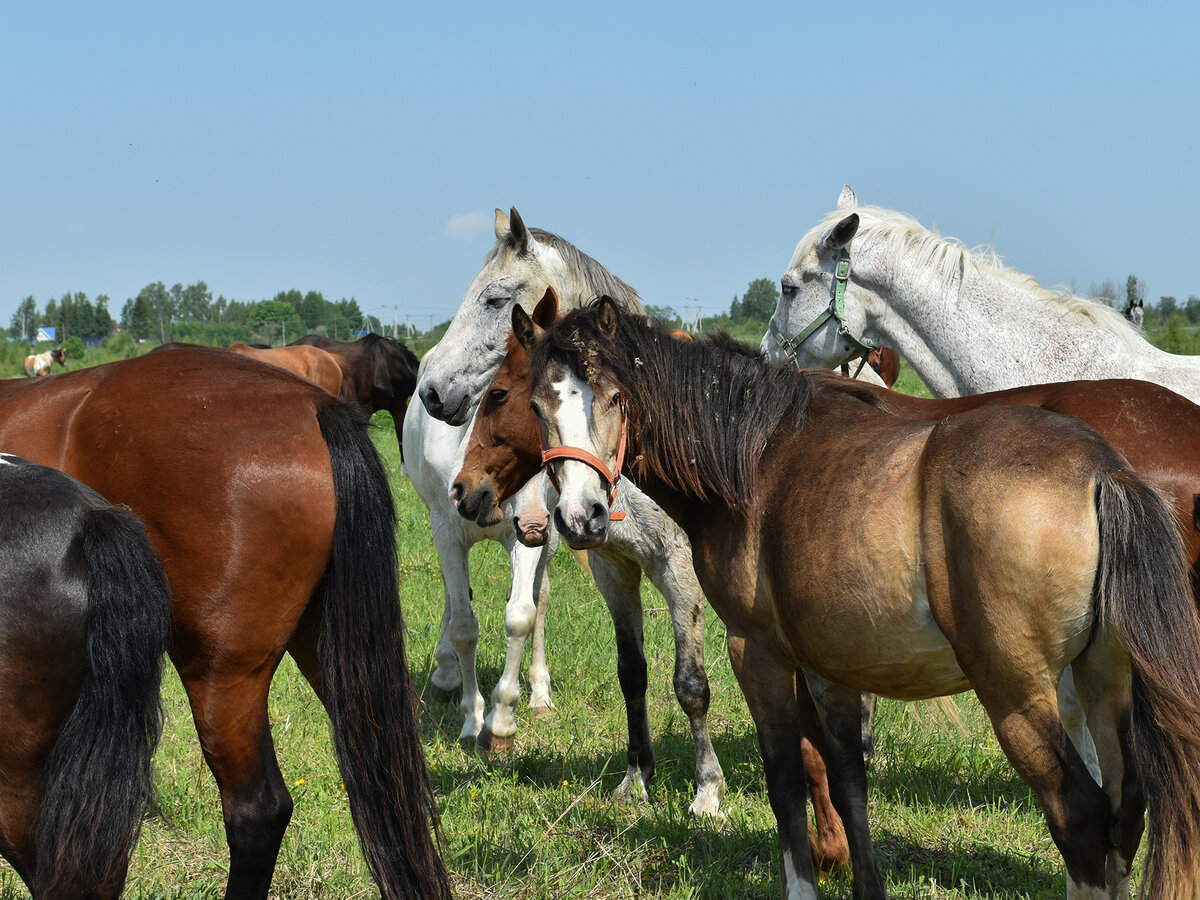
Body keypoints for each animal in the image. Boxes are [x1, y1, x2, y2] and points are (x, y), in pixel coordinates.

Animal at [520, 301, 1200, 900]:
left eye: (613, 398)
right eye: (536, 404)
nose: (580, 517)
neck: (754, 455)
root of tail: (1102, 472)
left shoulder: (756, 651)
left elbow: (787, 779)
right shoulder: (834, 665)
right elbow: (848, 781)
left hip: (1015, 692)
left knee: (1078, 816)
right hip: (1104, 680)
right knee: (1124, 812)